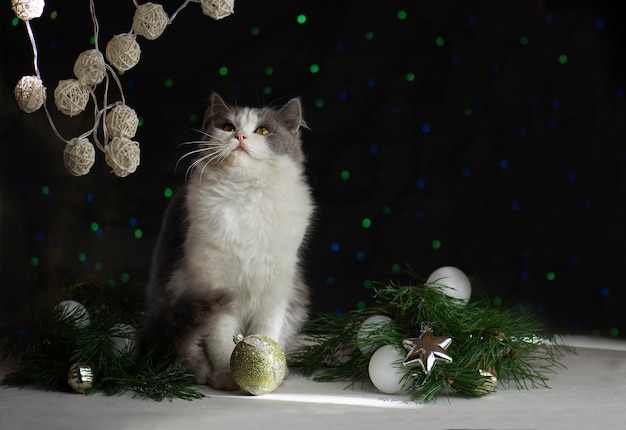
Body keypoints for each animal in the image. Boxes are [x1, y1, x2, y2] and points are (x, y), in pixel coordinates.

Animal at [136, 93, 312, 390]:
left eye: (263, 131)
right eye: (228, 127)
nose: (240, 136)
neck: (245, 195)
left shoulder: (275, 289)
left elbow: (266, 334)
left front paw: (267, 371)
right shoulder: (214, 283)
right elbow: (221, 340)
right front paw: (228, 376)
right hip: (173, 298)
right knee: (184, 348)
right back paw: (199, 373)